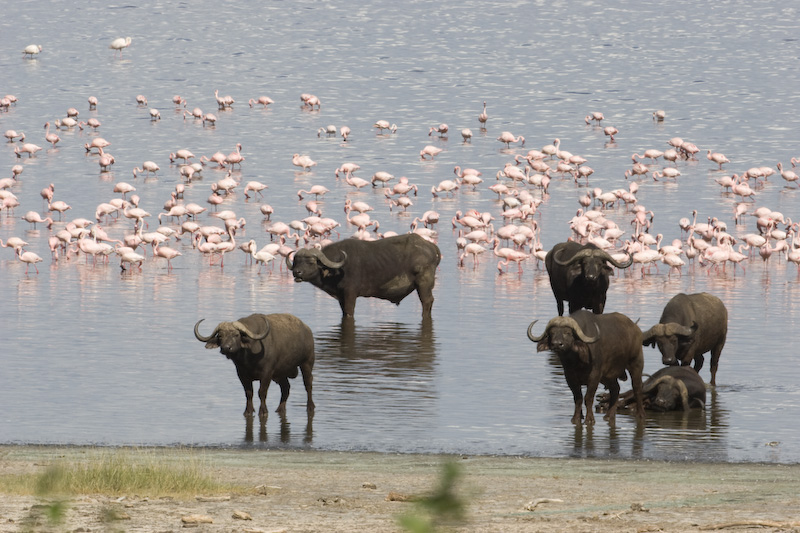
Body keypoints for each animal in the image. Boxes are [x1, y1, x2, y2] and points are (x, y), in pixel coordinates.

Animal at [288, 235, 440, 318]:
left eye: (311, 262)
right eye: (296, 261)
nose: (297, 272)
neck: (336, 269)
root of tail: (431, 247)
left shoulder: (350, 293)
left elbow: (349, 312)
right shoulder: (341, 296)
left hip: (423, 284)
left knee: (427, 301)